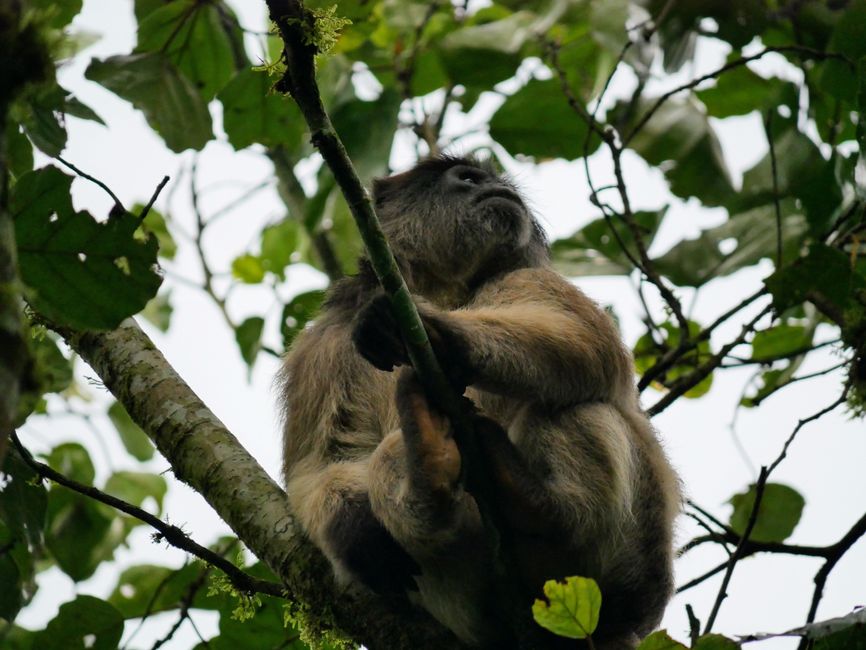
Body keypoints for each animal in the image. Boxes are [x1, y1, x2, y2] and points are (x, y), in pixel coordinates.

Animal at [278, 154, 680, 644]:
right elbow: (318, 463)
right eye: (468, 178)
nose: (494, 186)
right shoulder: (324, 343)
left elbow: (588, 341)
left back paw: (541, 505)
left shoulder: (523, 275)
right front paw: (355, 532)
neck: (435, 290)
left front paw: (442, 336)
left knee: (574, 402)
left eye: (488, 179)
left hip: (636, 563)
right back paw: (429, 460)